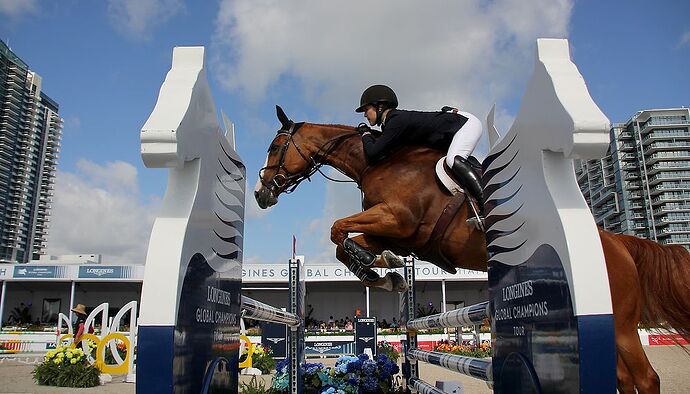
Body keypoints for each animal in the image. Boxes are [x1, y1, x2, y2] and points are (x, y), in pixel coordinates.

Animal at [254, 106, 688, 392]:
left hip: (620, 322)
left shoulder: (398, 219)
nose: (260, 194)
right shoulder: (396, 231)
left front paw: (376, 268)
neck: (375, 160)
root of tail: (616, 242)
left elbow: (337, 229)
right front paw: (385, 272)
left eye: (275, 146)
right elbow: (346, 242)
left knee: (645, 377)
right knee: (625, 377)